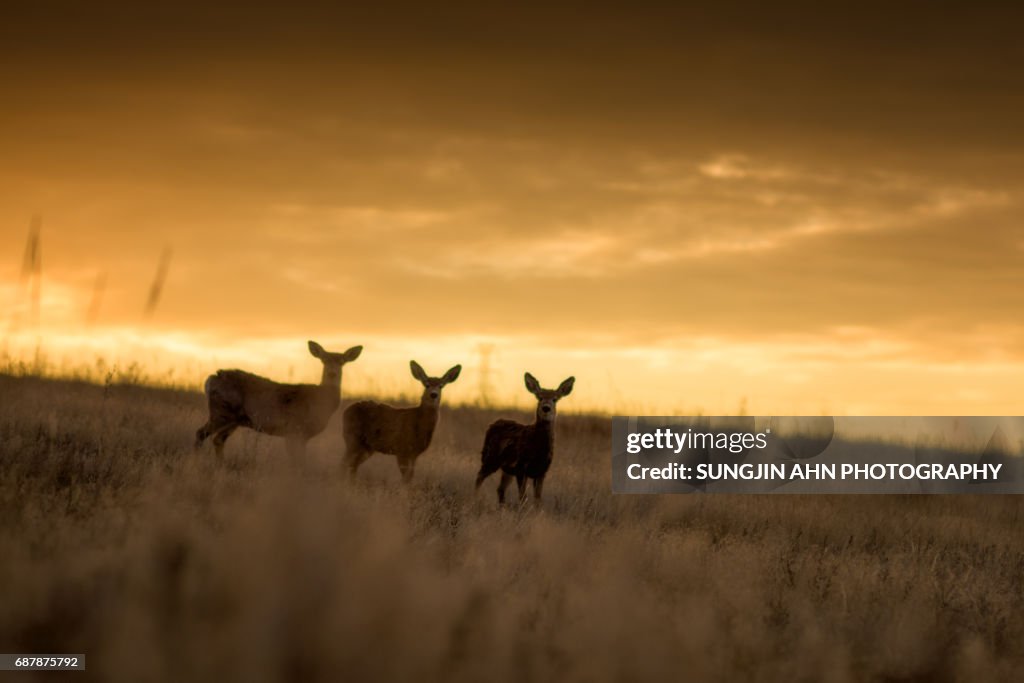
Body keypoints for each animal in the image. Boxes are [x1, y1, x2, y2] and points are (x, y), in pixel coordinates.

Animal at [195, 342, 364, 458]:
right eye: (324, 360)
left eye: (342, 361)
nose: (332, 373)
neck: (320, 402)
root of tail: (210, 380)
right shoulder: (295, 429)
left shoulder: (301, 435)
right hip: (221, 411)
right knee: (200, 433)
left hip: (233, 419)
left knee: (218, 440)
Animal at [473, 370, 573, 505]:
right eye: (539, 397)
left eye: (555, 399)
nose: (546, 408)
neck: (538, 449)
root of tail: (494, 423)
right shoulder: (521, 466)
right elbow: (523, 498)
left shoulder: (542, 470)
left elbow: (537, 499)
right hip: (490, 457)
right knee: (479, 477)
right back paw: (475, 499)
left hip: (507, 469)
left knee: (500, 489)